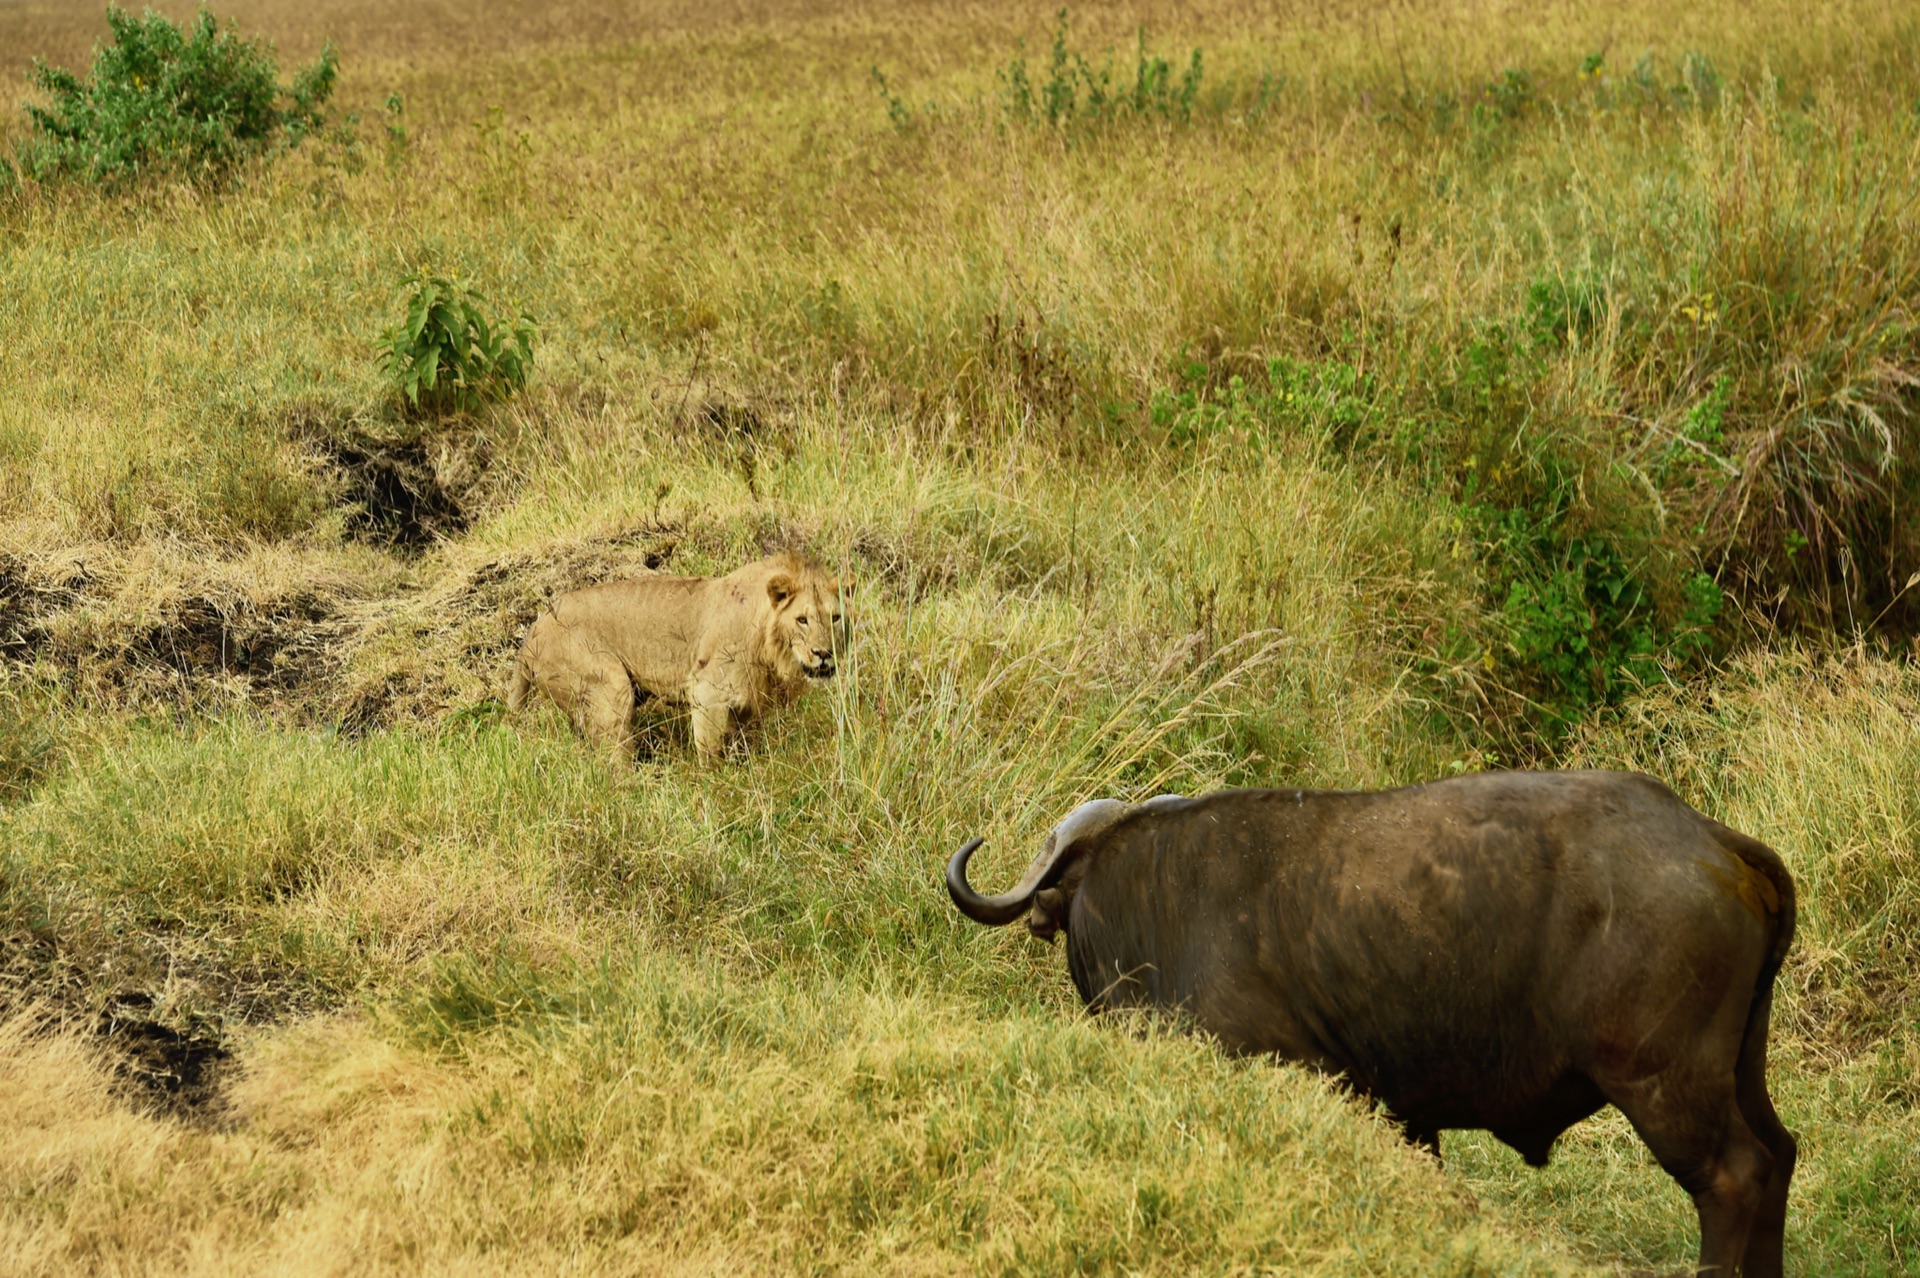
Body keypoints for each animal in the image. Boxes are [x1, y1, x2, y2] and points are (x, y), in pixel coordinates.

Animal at [506, 548, 852, 756]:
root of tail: (535, 628)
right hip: (607, 686)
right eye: (802, 620)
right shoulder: (707, 690)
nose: (823, 653)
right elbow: (711, 752)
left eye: (835, 618)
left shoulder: (750, 704)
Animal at [944, 767, 1797, 1274]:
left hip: (1661, 1081)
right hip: (1740, 1072)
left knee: (1734, 1175)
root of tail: (1713, 841)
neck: (1158, 899)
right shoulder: (1403, 1117)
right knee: (1780, 1155)